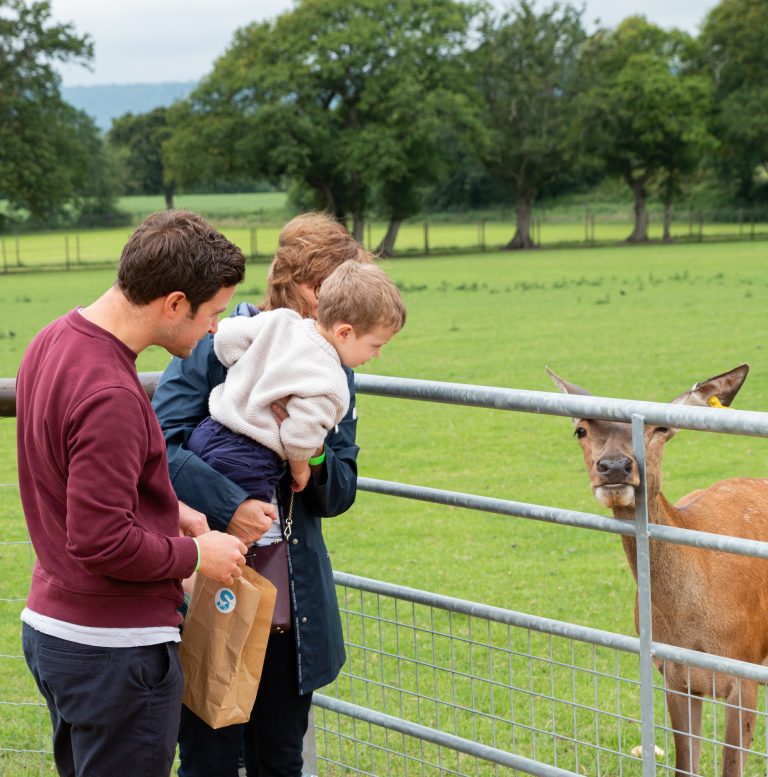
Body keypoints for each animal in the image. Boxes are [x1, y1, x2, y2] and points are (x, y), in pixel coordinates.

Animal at [548, 364, 768, 776]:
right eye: (580, 430)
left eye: (661, 428)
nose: (614, 466)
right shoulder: (673, 674)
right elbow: (685, 764)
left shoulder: (744, 669)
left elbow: (731, 765)